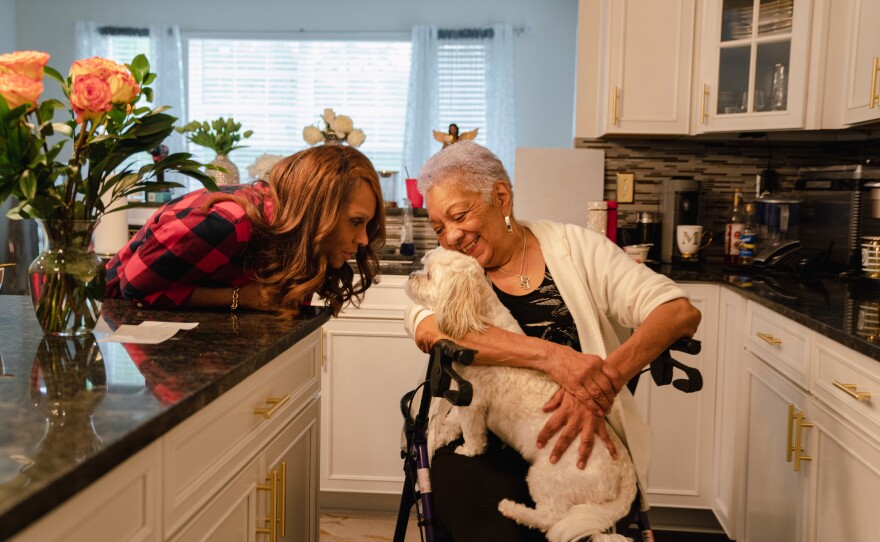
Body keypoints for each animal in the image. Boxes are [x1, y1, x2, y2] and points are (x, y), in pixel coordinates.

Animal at [406, 249, 640, 542]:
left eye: (428, 275)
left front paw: (467, 450)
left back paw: (513, 509)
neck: (480, 317)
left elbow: (473, 435)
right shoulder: (464, 399)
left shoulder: (474, 403)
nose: (409, 276)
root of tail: (626, 477)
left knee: (550, 519)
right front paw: (436, 436)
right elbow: (452, 424)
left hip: (547, 476)